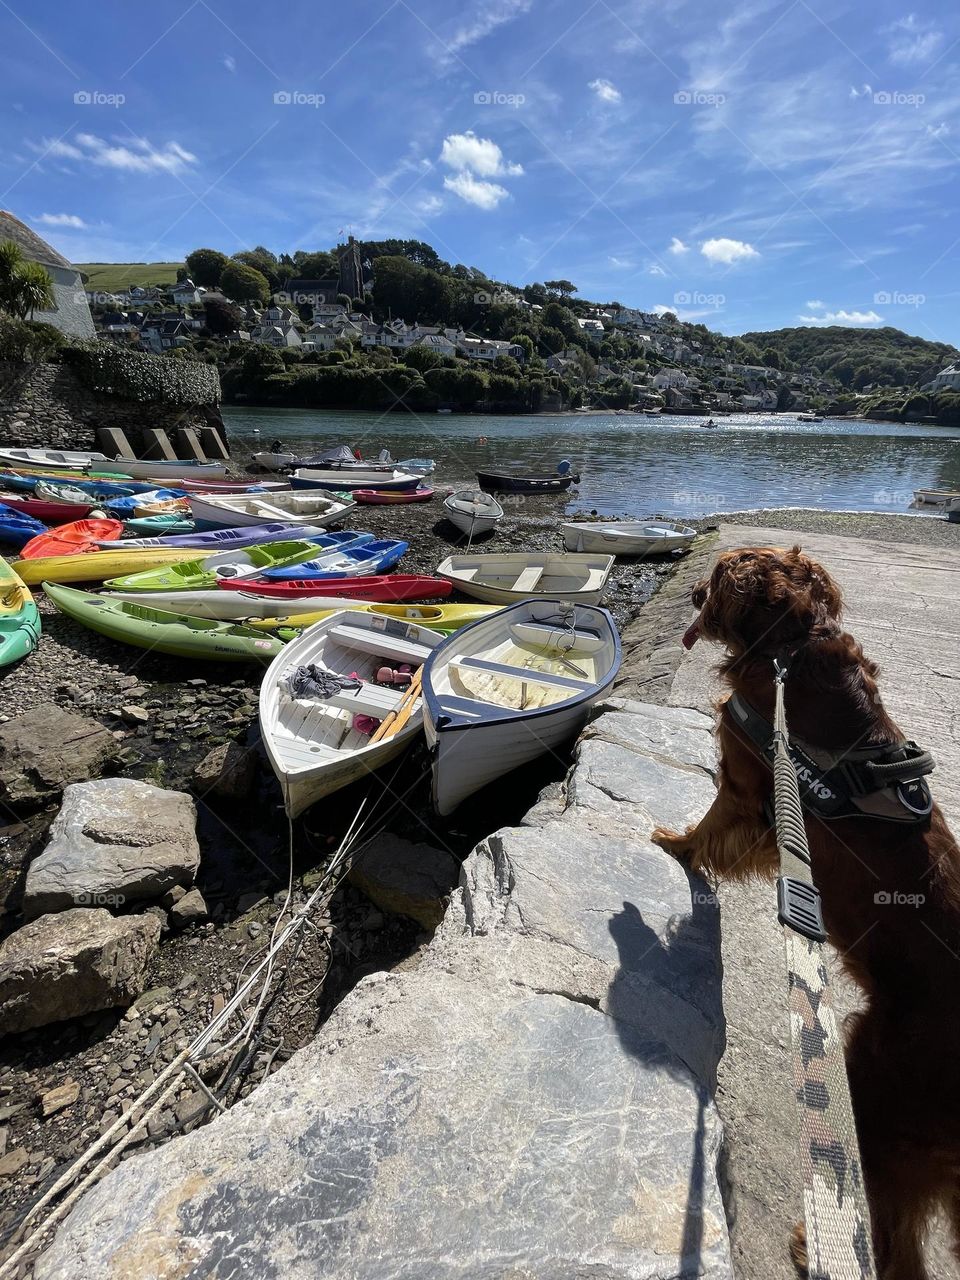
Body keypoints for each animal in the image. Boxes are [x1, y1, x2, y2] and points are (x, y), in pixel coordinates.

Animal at [660, 545, 960, 1280]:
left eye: (715, 576)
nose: (689, 592)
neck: (792, 647)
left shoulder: (746, 781)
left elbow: (709, 826)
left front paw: (673, 844)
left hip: (878, 1100)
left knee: (894, 1246)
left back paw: (809, 1245)